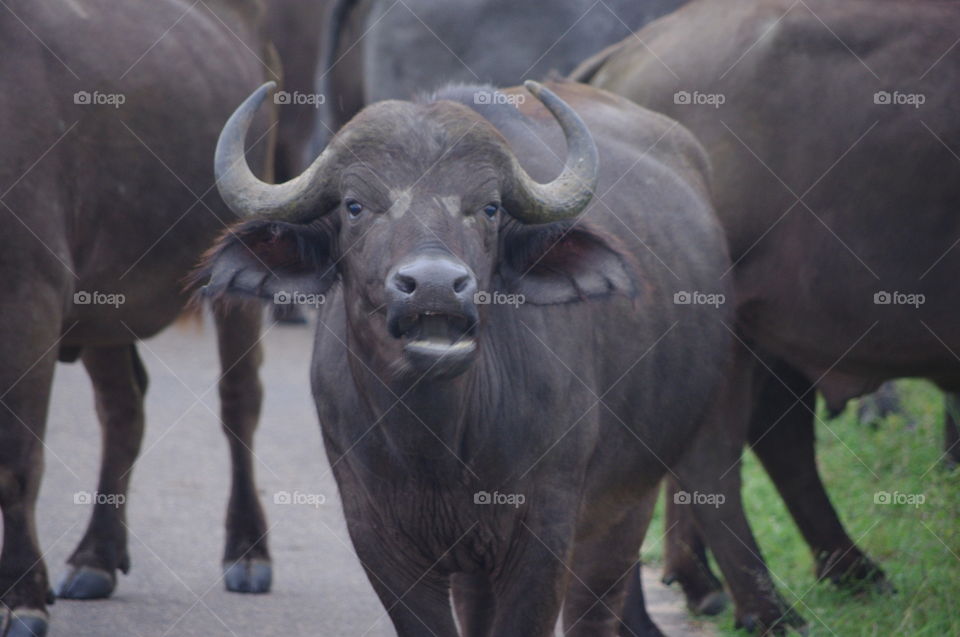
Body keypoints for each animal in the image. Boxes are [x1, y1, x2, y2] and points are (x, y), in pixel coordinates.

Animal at [2, 2, 278, 632]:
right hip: (104, 307)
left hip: (243, 277)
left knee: (240, 401)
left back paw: (248, 550)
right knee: (123, 408)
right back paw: (97, 556)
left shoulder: (28, 296)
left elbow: (16, 460)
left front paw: (21, 595)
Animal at [201, 80, 728, 636]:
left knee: (596, 607)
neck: (438, 449)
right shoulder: (378, 538)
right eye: (354, 205)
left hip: (628, 502)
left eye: (490, 207)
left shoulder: (545, 533)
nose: (434, 285)